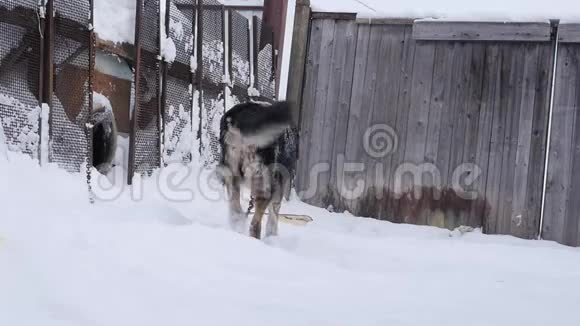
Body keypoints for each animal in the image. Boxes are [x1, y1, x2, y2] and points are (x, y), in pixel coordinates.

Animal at [219, 102, 296, 239]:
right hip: (265, 186)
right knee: (255, 224)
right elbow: (272, 220)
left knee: (236, 213)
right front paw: (272, 236)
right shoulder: (277, 192)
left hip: (232, 176)